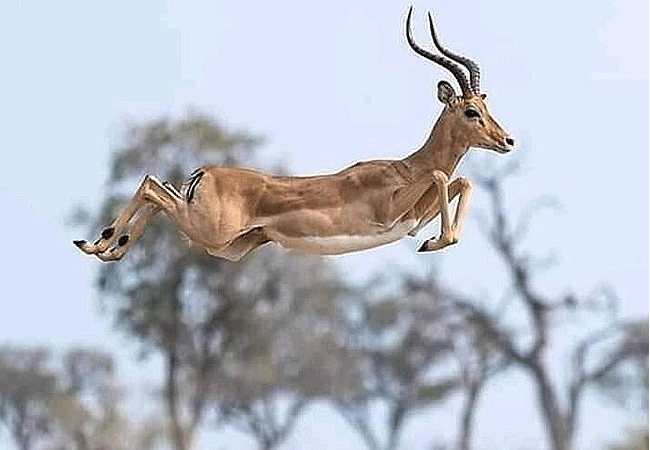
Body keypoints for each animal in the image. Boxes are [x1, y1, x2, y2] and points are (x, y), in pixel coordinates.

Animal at [74, 7, 514, 262]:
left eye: (486, 106)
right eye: (471, 111)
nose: (507, 141)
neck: (406, 168)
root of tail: (205, 173)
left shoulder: (414, 217)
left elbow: (462, 180)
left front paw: (433, 241)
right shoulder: (388, 213)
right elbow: (444, 175)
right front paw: (437, 242)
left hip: (225, 246)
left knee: (159, 190)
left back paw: (108, 249)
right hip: (209, 230)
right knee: (151, 183)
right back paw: (98, 243)